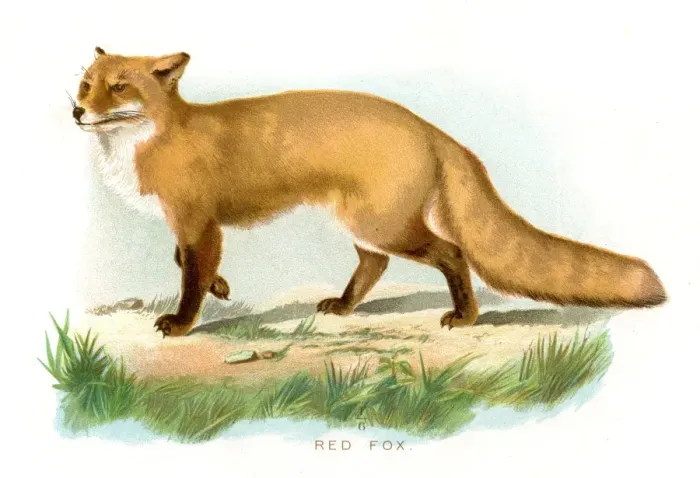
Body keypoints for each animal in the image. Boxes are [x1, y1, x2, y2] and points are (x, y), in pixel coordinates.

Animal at [73, 47, 667, 337]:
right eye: (85, 84)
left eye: (119, 87)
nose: (77, 112)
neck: (155, 139)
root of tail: (429, 127)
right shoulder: (193, 225)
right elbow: (187, 262)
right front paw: (221, 286)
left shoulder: (198, 220)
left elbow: (189, 277)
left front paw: (182, 323)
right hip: (365, 225)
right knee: (375, 265)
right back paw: (344, 306)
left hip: (384, 225)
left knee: (452, 253)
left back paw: (465, 316)